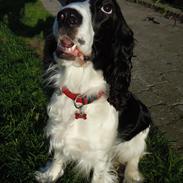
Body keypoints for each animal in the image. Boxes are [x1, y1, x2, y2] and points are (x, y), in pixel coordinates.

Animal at [35, 0, 152, 182]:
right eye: (66, 1)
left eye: (107, 8)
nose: (66, 16)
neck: (80, 93)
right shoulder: (59, 133)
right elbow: (57, 158)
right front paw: (50, 176)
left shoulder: (100, 157)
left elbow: (99, 175)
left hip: (142, 125)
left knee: (134, 156)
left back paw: (132, 175)